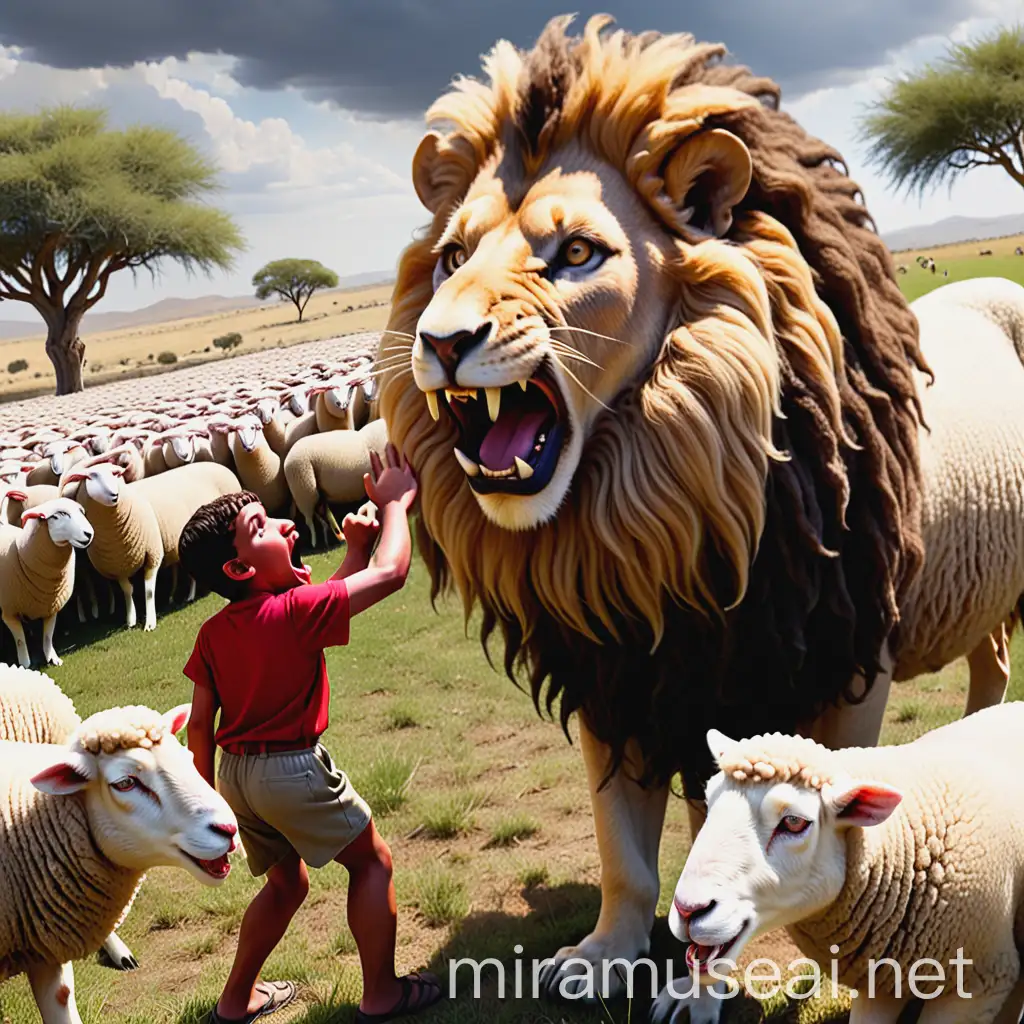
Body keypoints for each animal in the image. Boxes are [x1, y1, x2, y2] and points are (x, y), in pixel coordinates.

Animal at [0, 497, 94, 671]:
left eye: (81, 512)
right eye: (58, 515)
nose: (89, 534)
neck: (21, 553)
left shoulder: (51, 607)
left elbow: (48, 636)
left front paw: (53, 658)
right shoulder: (9, 612)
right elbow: (20, 640)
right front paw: (25, 664)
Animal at [284, 413, 387, 548]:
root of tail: (287, 457)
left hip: (312, 491)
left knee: (320, 512)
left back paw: (334, 537)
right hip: (304, 487)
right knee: (310, 519)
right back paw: (316, 543)